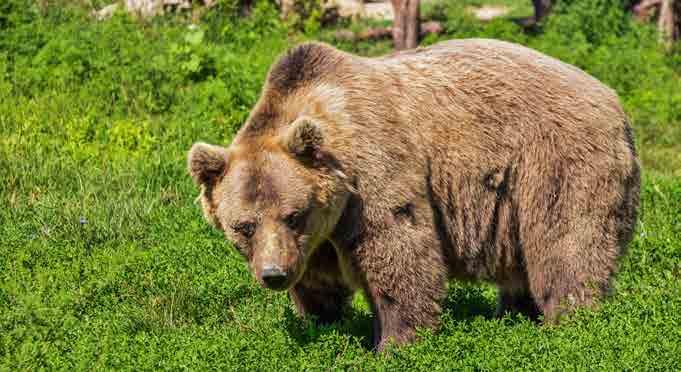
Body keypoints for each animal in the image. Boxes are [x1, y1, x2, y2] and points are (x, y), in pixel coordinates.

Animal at [186, 39, 636, 350]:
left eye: (294, 214)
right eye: (244, 226)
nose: (274, 274)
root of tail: (613, 98)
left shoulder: (372, 173)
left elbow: (397, 251)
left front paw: (395, 342)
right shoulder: (316, 239)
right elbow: (317, 281)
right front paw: (321, 322)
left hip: (555, 160)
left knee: (567, 242)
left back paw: (571, 321)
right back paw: (513, 314)